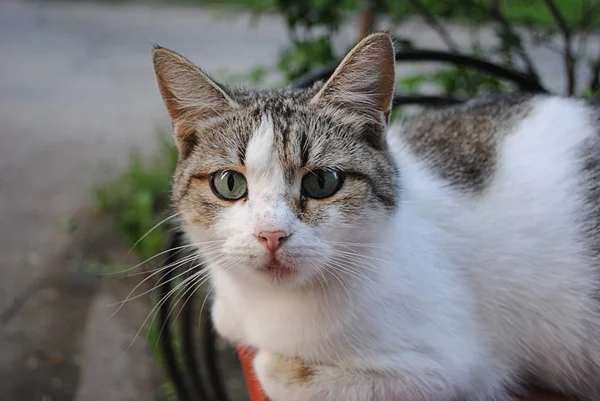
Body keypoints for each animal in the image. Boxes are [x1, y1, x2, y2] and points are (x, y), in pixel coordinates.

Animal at [150, 32, 600, 400]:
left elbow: (276, 371)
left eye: (322, 182)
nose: (271, 234)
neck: (269, 304)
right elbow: (226, 318)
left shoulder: (454, 368)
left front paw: (277, 361)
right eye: (229, 184)